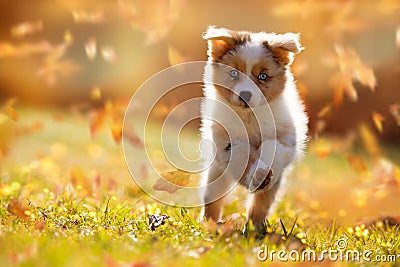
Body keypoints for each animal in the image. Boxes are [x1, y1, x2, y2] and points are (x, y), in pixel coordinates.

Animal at [200, 26, 310, 233]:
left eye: (263, 76)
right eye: (234, 73)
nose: (245, 95)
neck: (250, 117)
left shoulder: (285, 140)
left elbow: (272, 146)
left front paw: (262, 174)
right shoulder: (226, 142)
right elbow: (241, 153)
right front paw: (255, 174)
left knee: (260, 206)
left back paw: (254, 230)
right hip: (216, 175)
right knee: (212, 200)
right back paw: (208, 224)